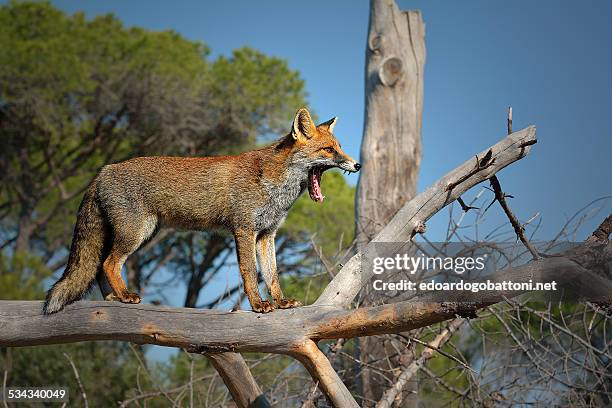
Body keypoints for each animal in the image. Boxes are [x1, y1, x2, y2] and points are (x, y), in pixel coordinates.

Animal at [44, 107, 358, 312]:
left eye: (340, 147)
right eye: (329, 150)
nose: (357, 165)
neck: (273, 184)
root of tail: (103, 170)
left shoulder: (267, 235)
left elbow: (271, 274)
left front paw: (280, 302)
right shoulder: (244, 230)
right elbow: (249, 272)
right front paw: (258, 304)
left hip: (138, 234)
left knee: (100, 268)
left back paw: (113, 299)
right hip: (135, 234)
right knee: (108, 264)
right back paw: (124, 296)